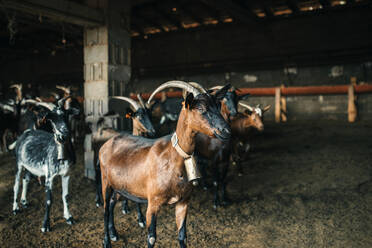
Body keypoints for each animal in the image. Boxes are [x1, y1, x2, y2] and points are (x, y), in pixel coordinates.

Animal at [12, 97, 79, 232]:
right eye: (51, 119)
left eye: (66, 114)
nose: (64, 133)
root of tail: (26, 132)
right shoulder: (50, 176)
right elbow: (49, 200)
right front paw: (45, 225)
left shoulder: (67, 174)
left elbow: (66, 196)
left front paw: (69, 217)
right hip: (19, 164)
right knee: (16, 184)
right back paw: (15, 208)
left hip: (30, 166)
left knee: (25, 179)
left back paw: (24, 201)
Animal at [99, 80, 232, 247]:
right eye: (201, 108)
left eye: (218, 105)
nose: (226, 131)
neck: (174, 157)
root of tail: (107, 144)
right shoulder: (153, 203)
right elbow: (151, 238)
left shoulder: (183, 202)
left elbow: (182, 236)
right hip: (105, 182)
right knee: (105, 209)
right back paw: (107, 241)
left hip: (120, 186)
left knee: (111, 204)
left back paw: (114, 234)